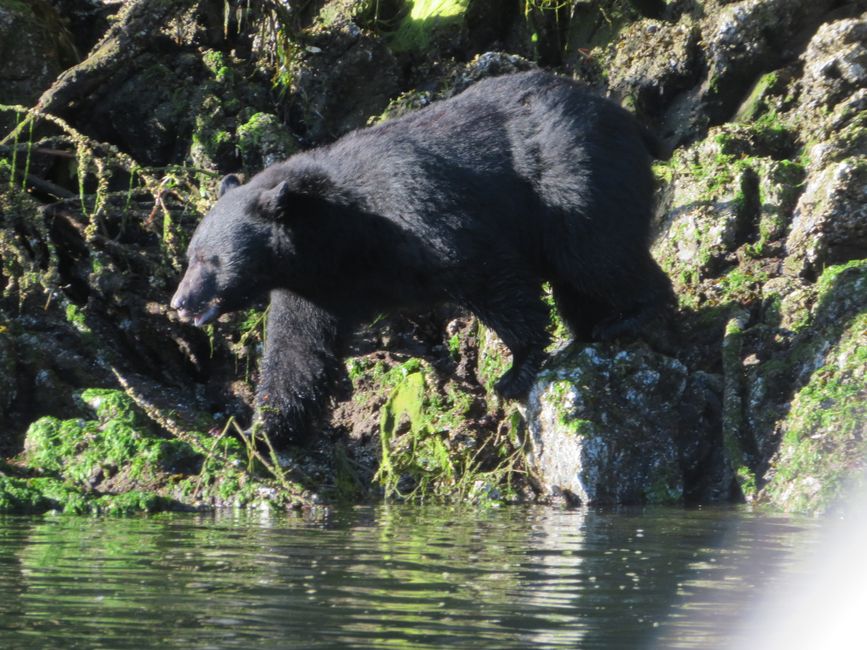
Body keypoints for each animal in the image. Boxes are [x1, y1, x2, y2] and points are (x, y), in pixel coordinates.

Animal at [170, 72, 672, 446]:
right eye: (191, 256)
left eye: (210, 259)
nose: (179, 302)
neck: (337, 233)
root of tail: (625, 116)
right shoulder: (315, 286)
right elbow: (298, 350)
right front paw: (257, 432)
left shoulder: (416, 211)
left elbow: (485, 272)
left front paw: (517, 368)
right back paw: (590, 327)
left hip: (574, 177)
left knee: (595, 255)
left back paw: (632, 315)